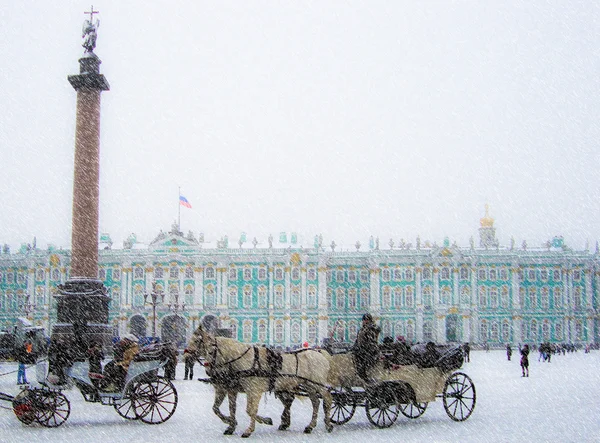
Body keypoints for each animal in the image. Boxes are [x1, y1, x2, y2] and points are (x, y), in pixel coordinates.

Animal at [189, 328, 332, 438]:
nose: (187, 356)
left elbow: (250, 410)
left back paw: (328, 424)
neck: (243, 360)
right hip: (309, 386)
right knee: (315, 402)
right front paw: (231, 425)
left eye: (197, 341)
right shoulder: (231, 389)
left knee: (327, 399)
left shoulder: (254, 391)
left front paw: (249, 429)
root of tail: (319, 352)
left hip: (318, 385)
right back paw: (309, 426)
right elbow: (226, 408)